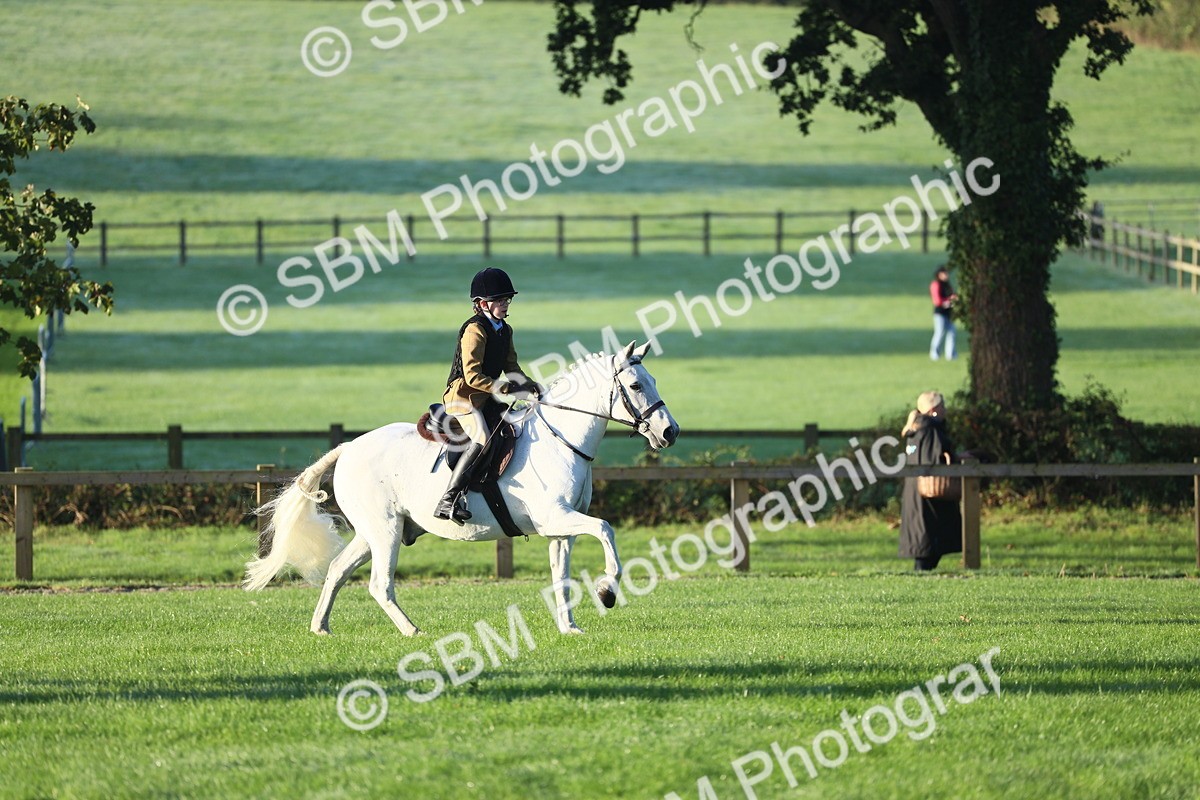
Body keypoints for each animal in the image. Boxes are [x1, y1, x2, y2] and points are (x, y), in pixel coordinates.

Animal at [243, 341, 680, 636]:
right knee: (380, 584)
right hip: (385, 532)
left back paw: (321, 628)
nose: (669, 432)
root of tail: (349, 447)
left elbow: (563, 575)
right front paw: (608, 590)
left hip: (373, 532)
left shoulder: (561, 528)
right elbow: (606, 529)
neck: (561, 440)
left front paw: (569, 626)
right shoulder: (558, 518)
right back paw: (412, 631)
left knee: (337, 571)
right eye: (636, 386)